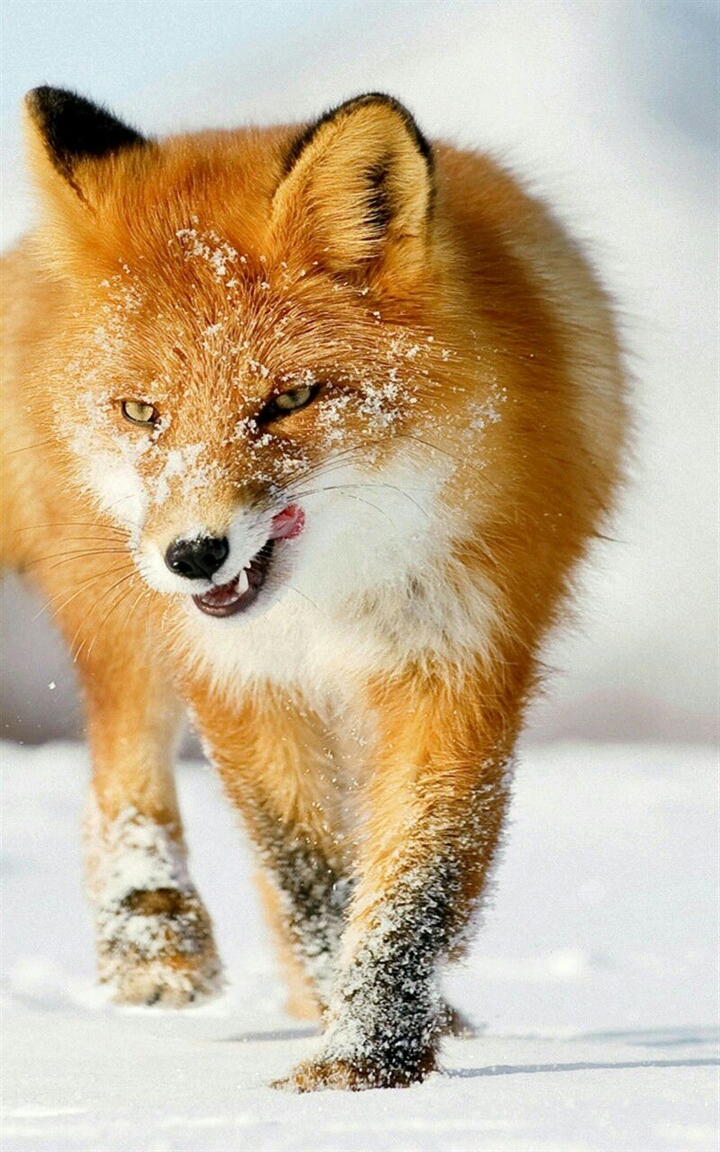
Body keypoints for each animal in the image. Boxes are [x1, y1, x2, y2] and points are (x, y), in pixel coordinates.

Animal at [1, 87, 627, 1090]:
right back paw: (154, 942)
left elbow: (415, 878)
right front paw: (357, 1045)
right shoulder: (241, 676)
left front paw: (367, 1059)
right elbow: (306, 871)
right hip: (117, 610)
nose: (194, 555)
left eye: (288, 400)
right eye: (143, 412)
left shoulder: (460, 656)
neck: (330, 601)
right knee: (121, 767)